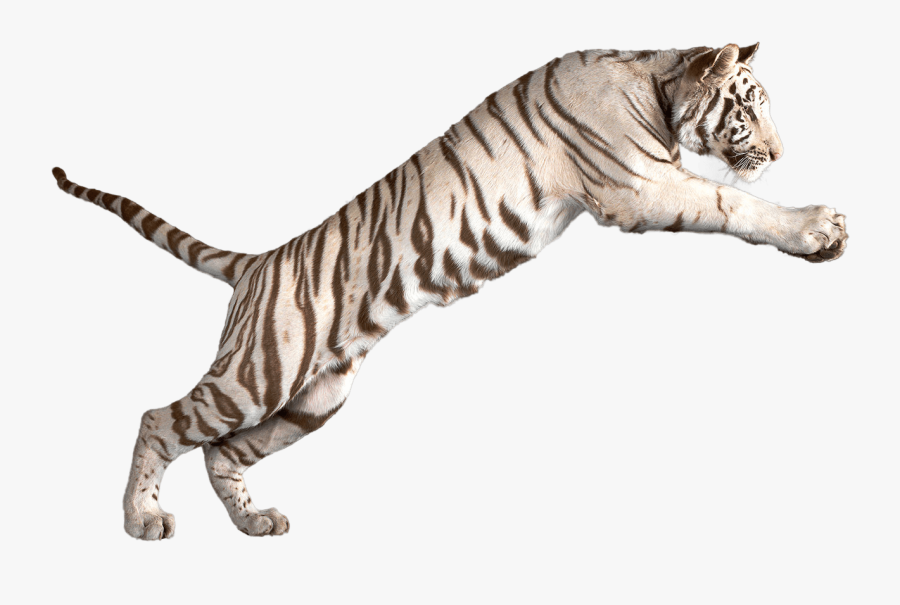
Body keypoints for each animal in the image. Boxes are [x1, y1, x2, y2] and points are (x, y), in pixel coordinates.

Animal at [52, 43, 848, 540]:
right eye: (748, 107)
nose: (779, 152)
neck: (656, 81)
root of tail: (258, 262)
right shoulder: (641, 186)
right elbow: (732, 202)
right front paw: (816, 226)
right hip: (257, 373)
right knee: (158, 419)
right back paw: (140, 520)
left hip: (313, 399)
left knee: (223, 452)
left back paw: (254, 522)